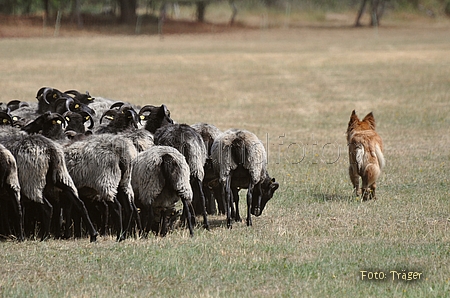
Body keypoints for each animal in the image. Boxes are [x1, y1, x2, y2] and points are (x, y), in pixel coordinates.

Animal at [0, 112, 97, 242]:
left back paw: (44, 237)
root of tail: (51, 151)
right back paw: (93, 235)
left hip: (32, 182)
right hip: (61, 176)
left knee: (47, 207)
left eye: (39, 120)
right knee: (79, 203)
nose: (24, 128)